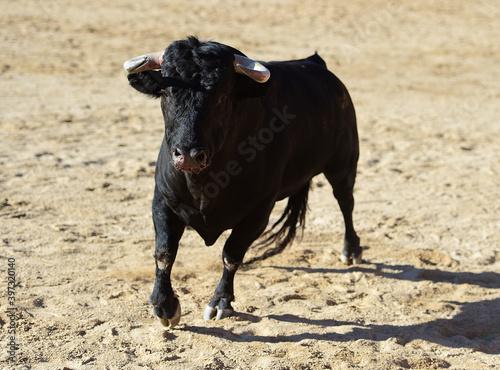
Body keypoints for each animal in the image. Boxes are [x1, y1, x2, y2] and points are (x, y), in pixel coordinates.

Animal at [124, 36, 360, 328]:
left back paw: (351, 250)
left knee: (345, 202)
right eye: (166, 93)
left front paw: (220, 302)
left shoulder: (258, 212)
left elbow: (232, 253)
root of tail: (316, 63)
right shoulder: (163, 201)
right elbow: (164, 251)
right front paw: (164, 305)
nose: (188, 154)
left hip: (343, 163)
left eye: (222, 96)